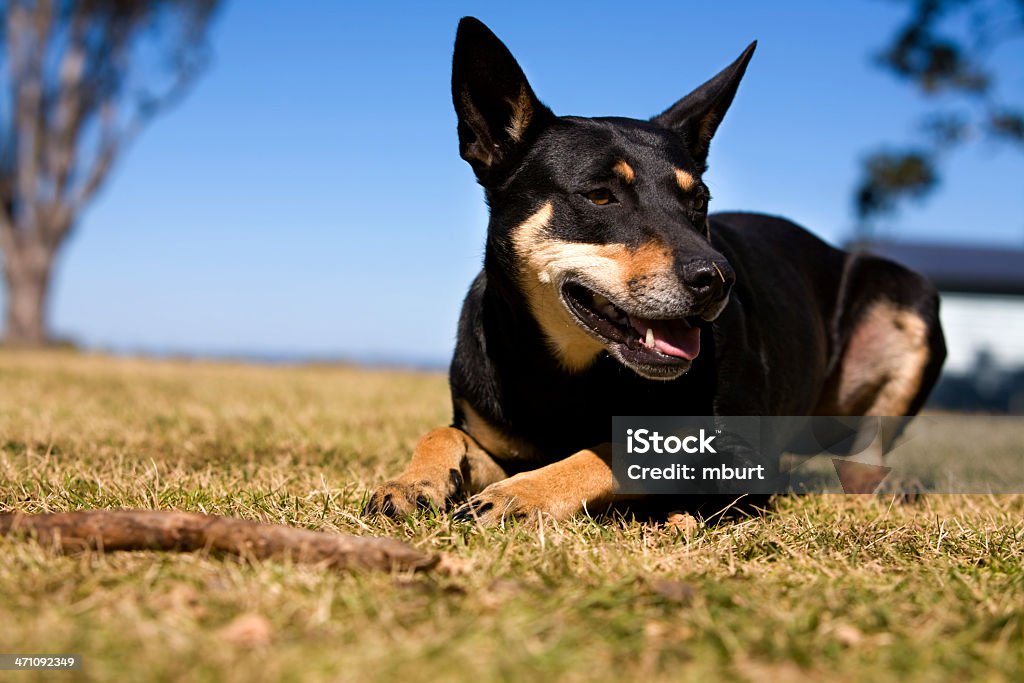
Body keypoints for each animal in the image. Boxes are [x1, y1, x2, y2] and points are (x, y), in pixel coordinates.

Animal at [364, 17, 946, 528]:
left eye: (700, 201)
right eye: (601, 196)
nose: (719, 280)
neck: (571, 368)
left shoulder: (739, 455)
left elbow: (616, 450)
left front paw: (519, 496)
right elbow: (443, 433)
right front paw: (410, 482)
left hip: (908, 298)